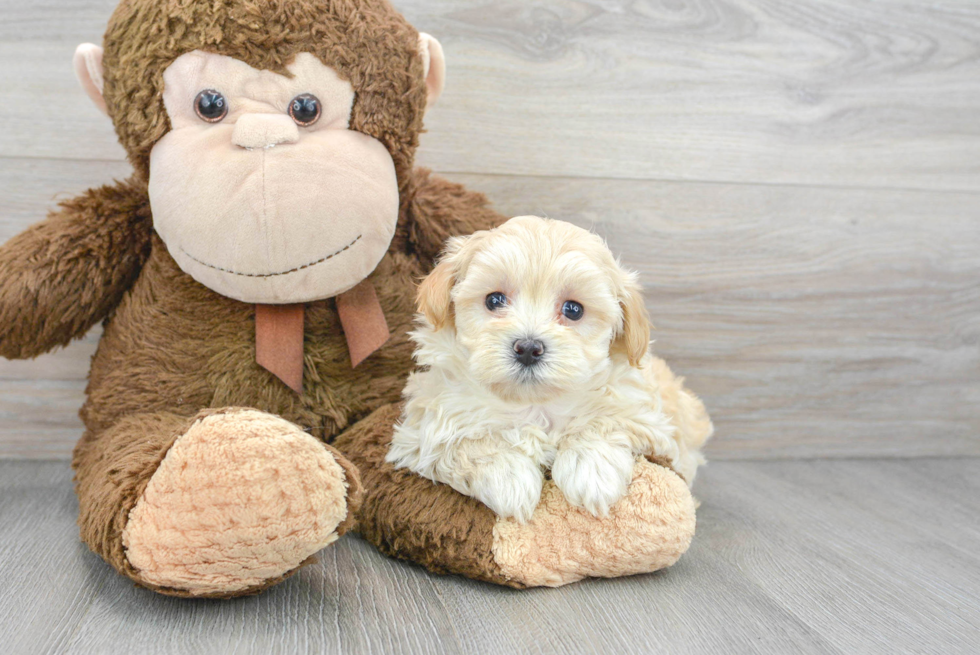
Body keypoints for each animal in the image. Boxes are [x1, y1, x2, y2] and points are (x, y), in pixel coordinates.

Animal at [384, 218, 712, 524]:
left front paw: (591, 472)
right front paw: (510, 479)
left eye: (573, 310)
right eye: (494, 300)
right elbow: (471, 443)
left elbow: (604, 420)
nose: (528, 348)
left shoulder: (646, 416)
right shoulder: (425, 428)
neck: (534, 405)